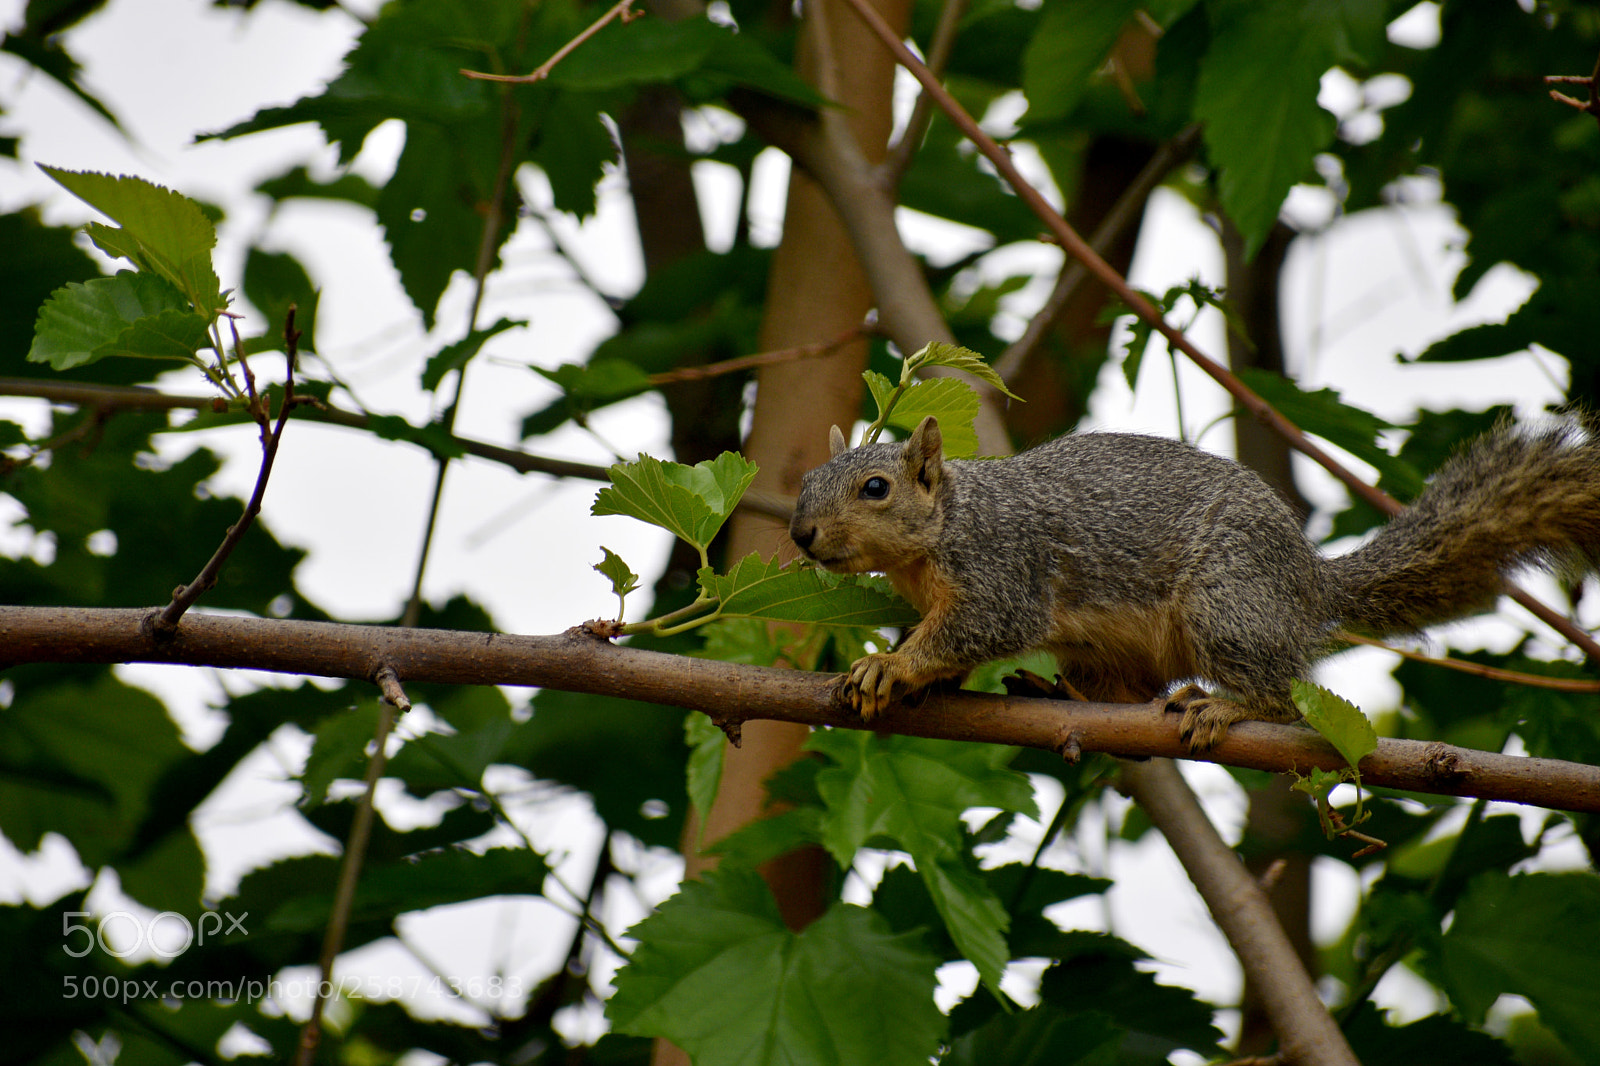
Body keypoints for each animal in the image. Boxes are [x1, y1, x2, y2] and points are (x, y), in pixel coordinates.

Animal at [788, 414, 1600, 750]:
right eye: (803, 480)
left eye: (874, 488)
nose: (800, 535)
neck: (943, 529)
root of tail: (1307, 582)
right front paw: (914, 677)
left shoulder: (999, 570)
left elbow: (980, 627)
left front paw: (891, 665)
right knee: (1129, 690)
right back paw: (1064, 694)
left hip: (1227, 598)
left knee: (1281, 693)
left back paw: (1226, 707)